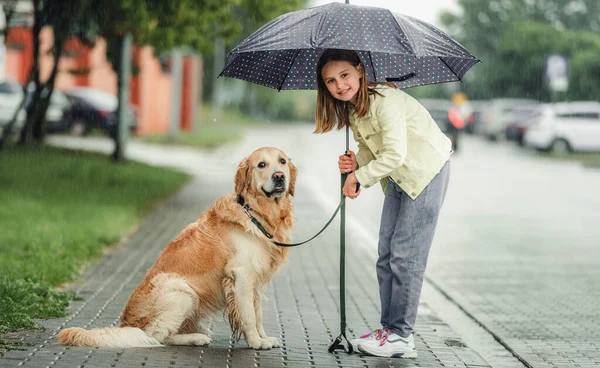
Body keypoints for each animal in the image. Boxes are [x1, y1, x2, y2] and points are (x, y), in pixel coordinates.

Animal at [57, 146, 296, 348]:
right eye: (261, 165)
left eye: (282, 161)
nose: (279, 176)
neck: (257, 213)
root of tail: (128, 325)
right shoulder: (241, 275)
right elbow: (248, 315)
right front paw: (256, 342)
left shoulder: (255, 280)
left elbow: (258, 314)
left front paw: (264, 337)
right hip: (181, 290)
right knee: (157, 336)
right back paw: (196, 338)